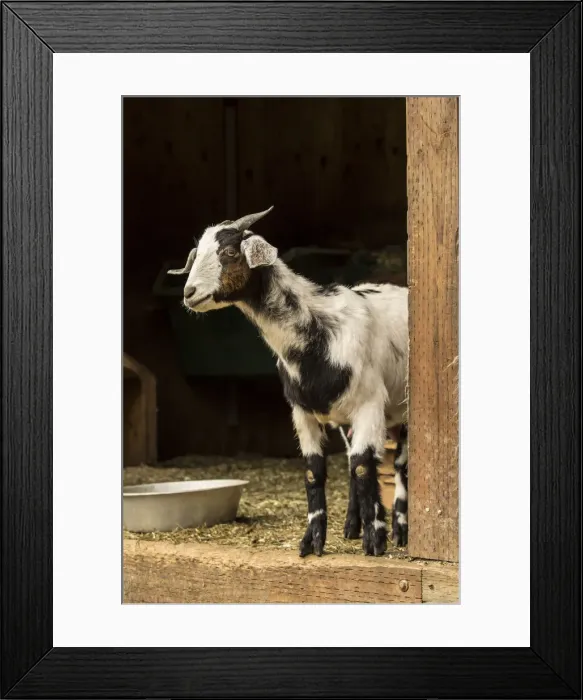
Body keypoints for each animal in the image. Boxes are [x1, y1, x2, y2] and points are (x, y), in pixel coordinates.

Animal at [169, 207, 409, 556]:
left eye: (230, 253)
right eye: (196, 253)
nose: (189, 293)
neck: (315, 333)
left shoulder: (369, 404)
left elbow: (364, 466)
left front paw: (375, 541)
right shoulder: (302, 413)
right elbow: (313, 471)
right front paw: (313, 541)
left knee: (398, 464)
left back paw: (400, 530)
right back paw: (353, 526)